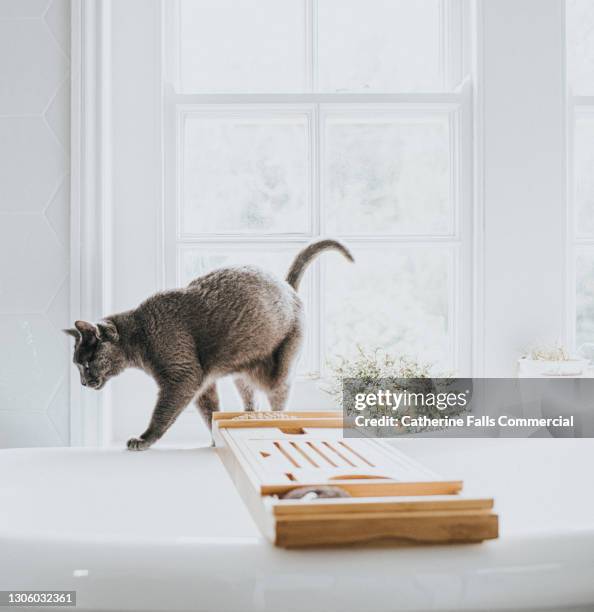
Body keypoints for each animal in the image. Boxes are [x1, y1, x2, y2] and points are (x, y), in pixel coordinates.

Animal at [65, 239, 352, 450]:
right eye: (78, 366)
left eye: (87, 364)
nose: (82, 382)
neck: (141, 332)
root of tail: (287, 286)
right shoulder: (203, 384)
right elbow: (210, 413)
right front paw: (217, 442)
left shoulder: (184, 377)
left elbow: (162, 413)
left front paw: (145, 439)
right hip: (242, 374)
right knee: (252, 400)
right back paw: (246, 420)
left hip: (278, 369)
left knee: (280, 398)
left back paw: (272, 424)